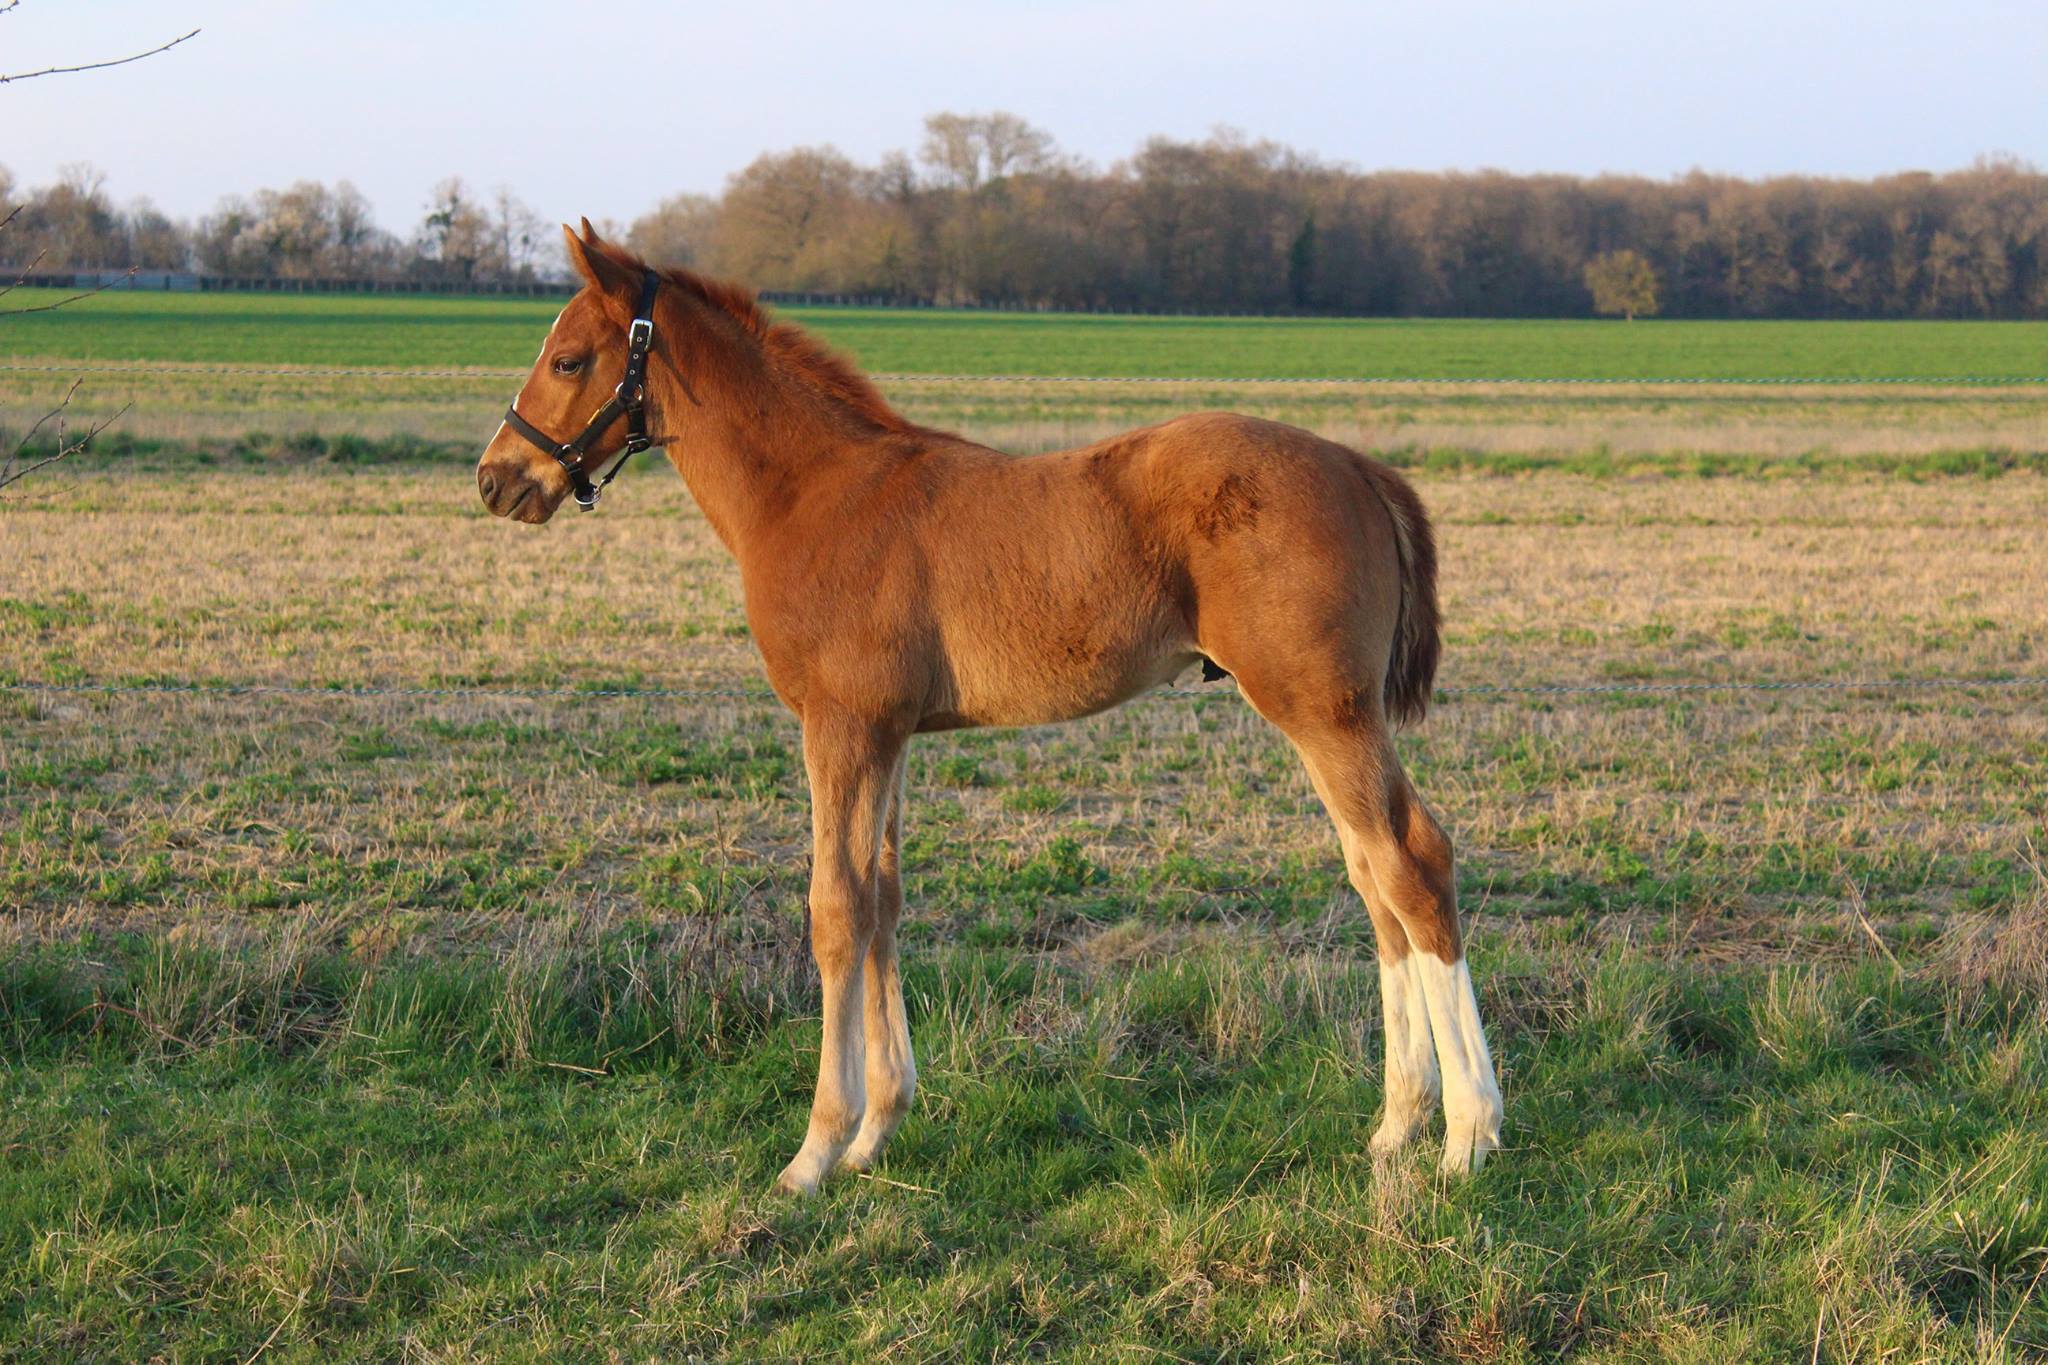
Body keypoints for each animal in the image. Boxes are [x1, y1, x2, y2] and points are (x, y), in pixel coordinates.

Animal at [479, 224, 1507, 1195]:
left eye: (568, 359)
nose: (495, 479)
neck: (815, 493)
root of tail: (1359, 466)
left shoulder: (841, 724)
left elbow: (835, 909)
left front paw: (814, 1151)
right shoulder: (889, 733)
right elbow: (883, 900)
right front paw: (876, 1132)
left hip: (1325, 711)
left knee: (1413, 864)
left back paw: (1467, 1136)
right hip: (1328, 716)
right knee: (1372, 877)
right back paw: (1397, 1125)